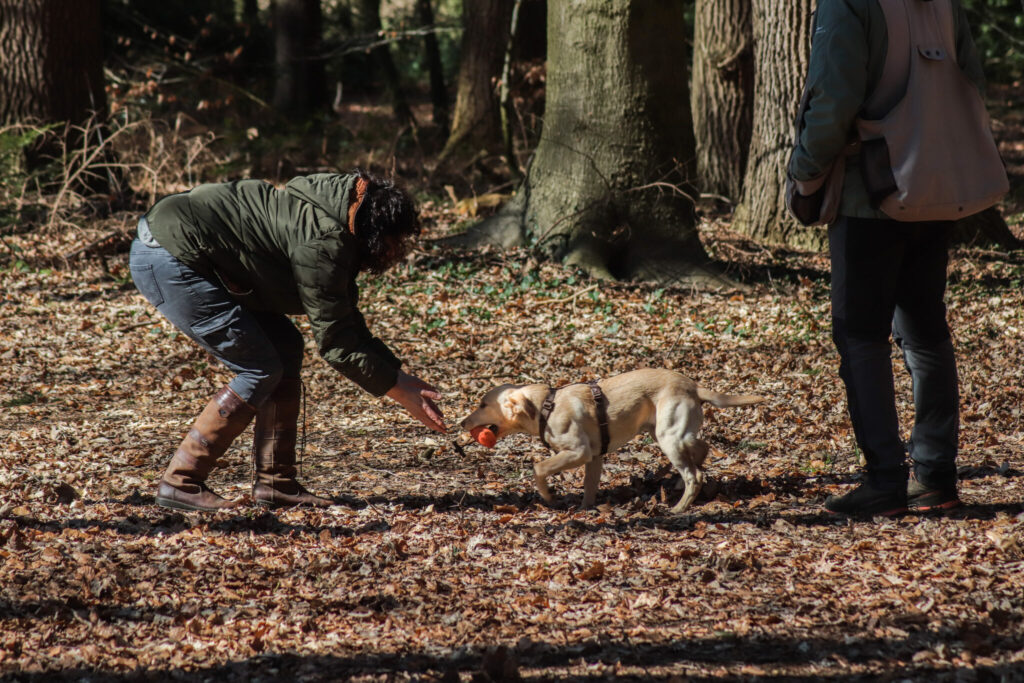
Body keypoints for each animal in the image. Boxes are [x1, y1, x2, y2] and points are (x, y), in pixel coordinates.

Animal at [460, 368, 765, 511]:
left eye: (482, 404)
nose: (461, 423)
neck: (547, 406)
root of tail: (693, 386)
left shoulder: (579, 452)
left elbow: (538, 468)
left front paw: (549, 497)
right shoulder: (594, 458)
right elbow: (588, 488)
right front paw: (585, 510)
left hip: (668, 437)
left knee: (695, 476)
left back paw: (678, 508)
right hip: (666, 432)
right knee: (702, 448)